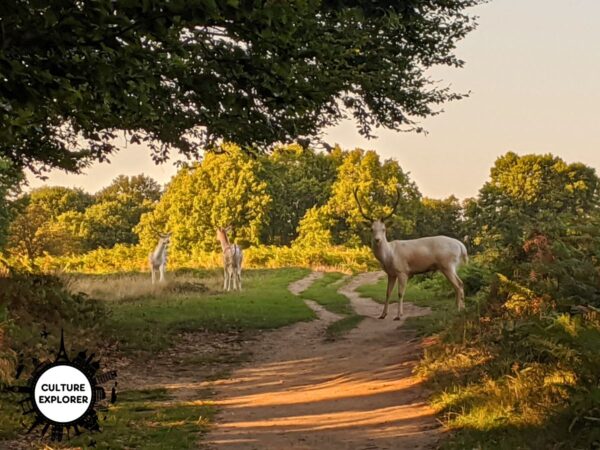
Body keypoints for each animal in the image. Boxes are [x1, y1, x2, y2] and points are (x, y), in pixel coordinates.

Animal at [356, 186, 468, 320]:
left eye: (384, 229)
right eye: (371, 229)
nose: (377, 240)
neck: (388, 256)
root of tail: (461, 246)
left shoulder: (402, 271)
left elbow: (400, 293)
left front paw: (399, 315)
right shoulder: (391, 274)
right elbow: (387, 293)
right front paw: (382, 315)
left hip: (447, 264)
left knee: (458, 284)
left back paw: (459, 309)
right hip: (450, 266)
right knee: (459, 284)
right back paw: (460, 308)